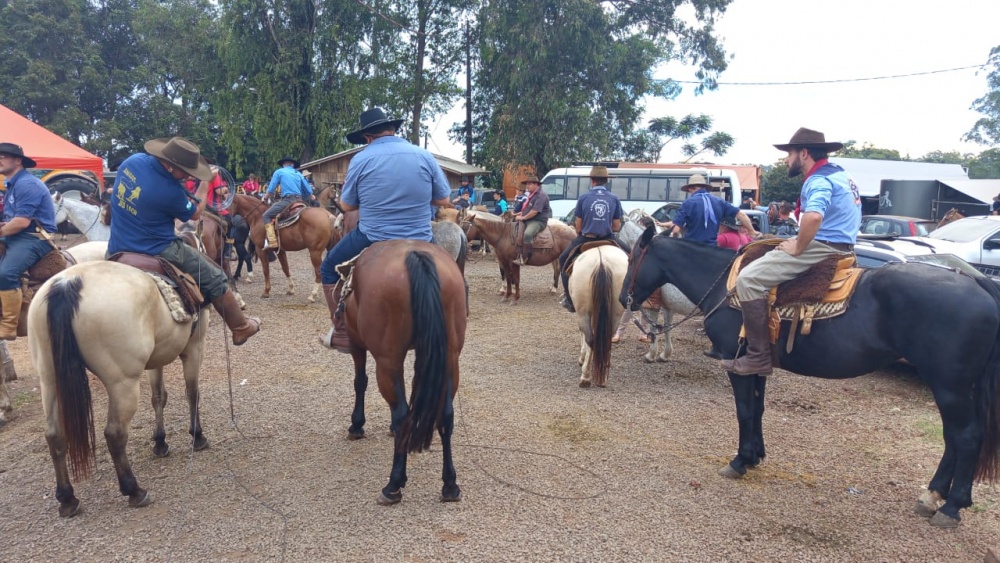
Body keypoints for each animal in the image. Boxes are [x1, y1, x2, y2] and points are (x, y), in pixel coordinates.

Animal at [28, 259, 211, 517]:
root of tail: (68, 284)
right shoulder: (194, 348)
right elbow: (192, 393)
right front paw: (197, 436)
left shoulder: (156, 358)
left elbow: (158, 397)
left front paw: (160, 442)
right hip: (123, 382)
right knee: (115, 434)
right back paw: (134, 490)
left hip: (49, 380)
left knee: (54, 435)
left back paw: (67, 498)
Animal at [341, 240, 466, 505]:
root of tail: (415, 256)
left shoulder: (356, 343)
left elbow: (360, 381)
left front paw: (357, 425)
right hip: (450, 358)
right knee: (446, 415)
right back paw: (450, 485)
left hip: (387, 359)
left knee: (400, 414)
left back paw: (393, 485)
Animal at [568, 245, 629, 388]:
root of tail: (602, 262)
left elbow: (583, 334)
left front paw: (582, 358)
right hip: (616, 313)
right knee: (606, 339)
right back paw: (602, 378)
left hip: (583, 312)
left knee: (591, 339)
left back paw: (585, 377)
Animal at [617, 210, 698, 363]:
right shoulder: (668, 306)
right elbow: (667, 327)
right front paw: (665, 354)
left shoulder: (652, 305)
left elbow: (653, 326)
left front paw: (651, 354)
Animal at [620, 228, 1000, 527]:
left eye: (633, 257)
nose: (625, 297)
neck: (725, 286)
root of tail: (976, 282)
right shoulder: (756, 365)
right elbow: (757, 410)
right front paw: (756, 455)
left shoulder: (736, 361)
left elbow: (744, 411)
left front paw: (740, 461)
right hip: (953, 386)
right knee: (954, 438)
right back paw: (933, 495)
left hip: (948, 386)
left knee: (965, 437)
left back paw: (951, 506)